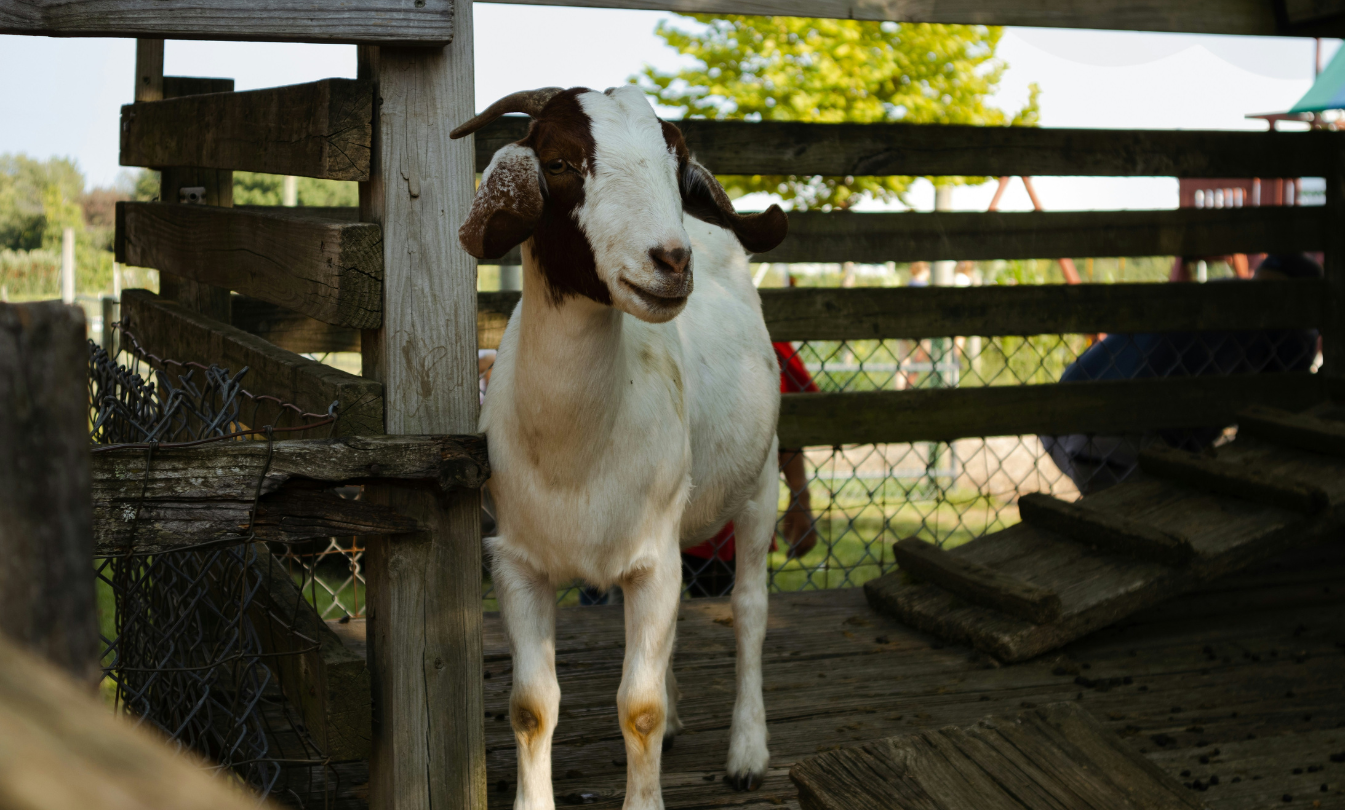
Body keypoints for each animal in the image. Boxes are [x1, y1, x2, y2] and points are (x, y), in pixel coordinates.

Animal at [452, 86, 788, 810]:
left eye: (676, 168)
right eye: (558, 162)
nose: (673, 260)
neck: (575, 452)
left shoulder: (651, 560)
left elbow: (638, 708)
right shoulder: (517, 563)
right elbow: (531, 706)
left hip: (761, 483)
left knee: (748, 612)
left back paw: (748, 751)